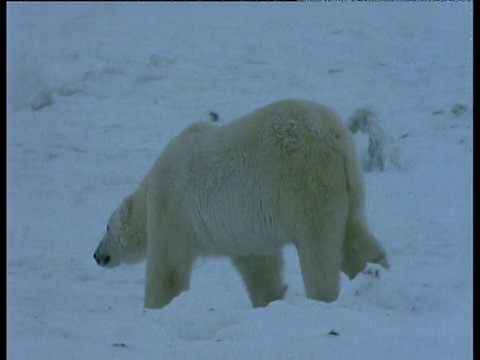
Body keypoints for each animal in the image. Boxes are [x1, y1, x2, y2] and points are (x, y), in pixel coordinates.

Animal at [94, 99, 390, 310]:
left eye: (107, 227)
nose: (97, 255)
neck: (150, 187)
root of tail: (332, 136)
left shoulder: (172, 208)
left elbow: (167, 269)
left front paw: (155, 306)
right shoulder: (244, 229)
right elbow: (259, 265)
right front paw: (269, 299)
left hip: (304, 184)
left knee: (320, 249)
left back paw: (321, 296)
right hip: (349, 188)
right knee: (355, 238)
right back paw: (377, 275)